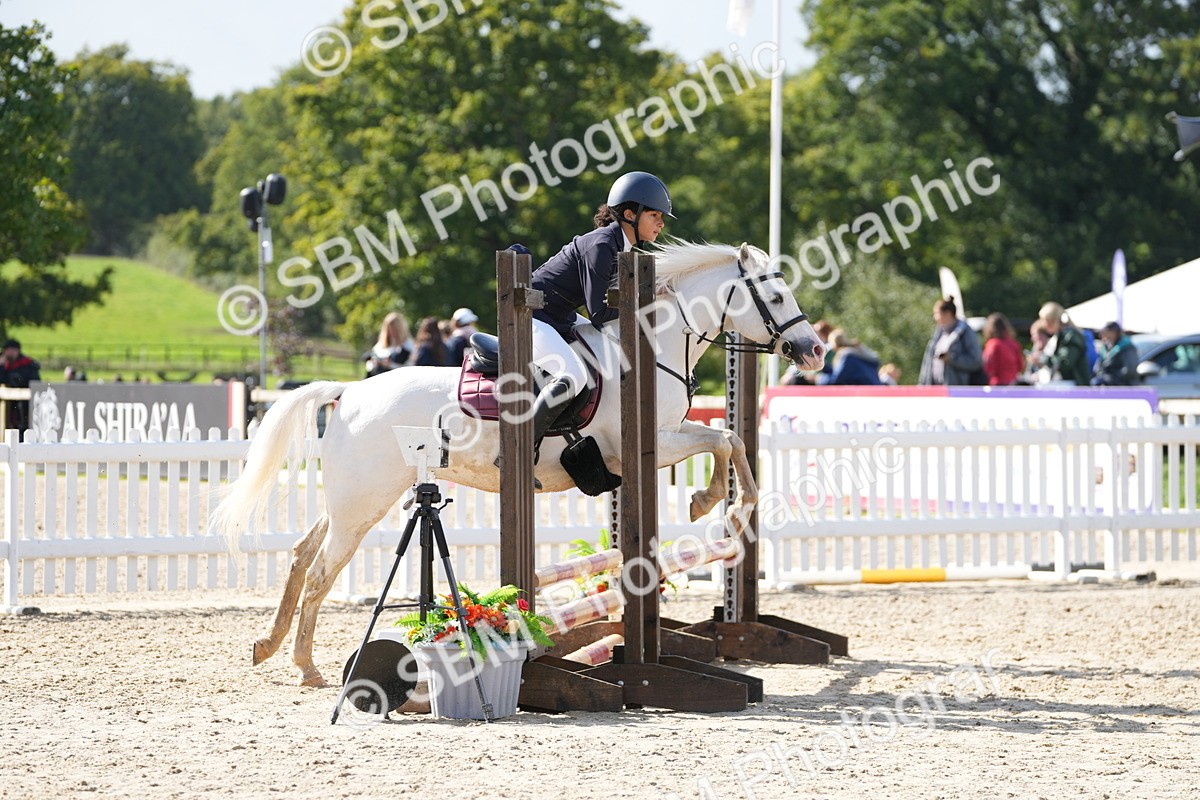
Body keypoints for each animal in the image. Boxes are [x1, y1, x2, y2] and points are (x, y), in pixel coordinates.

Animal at [212, 241, 826, 686]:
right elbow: (725, 441)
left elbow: (730, 440)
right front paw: (716, 504)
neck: (650, 350)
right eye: (775, 293)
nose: (815, 351)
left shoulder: (659, 444)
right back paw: (308, 668)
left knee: (302, 553)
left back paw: (268, 646)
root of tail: (349, 392)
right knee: (320, 571)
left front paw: (724, 505)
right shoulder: (651, 444)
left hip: (352, 499)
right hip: (364, 502)